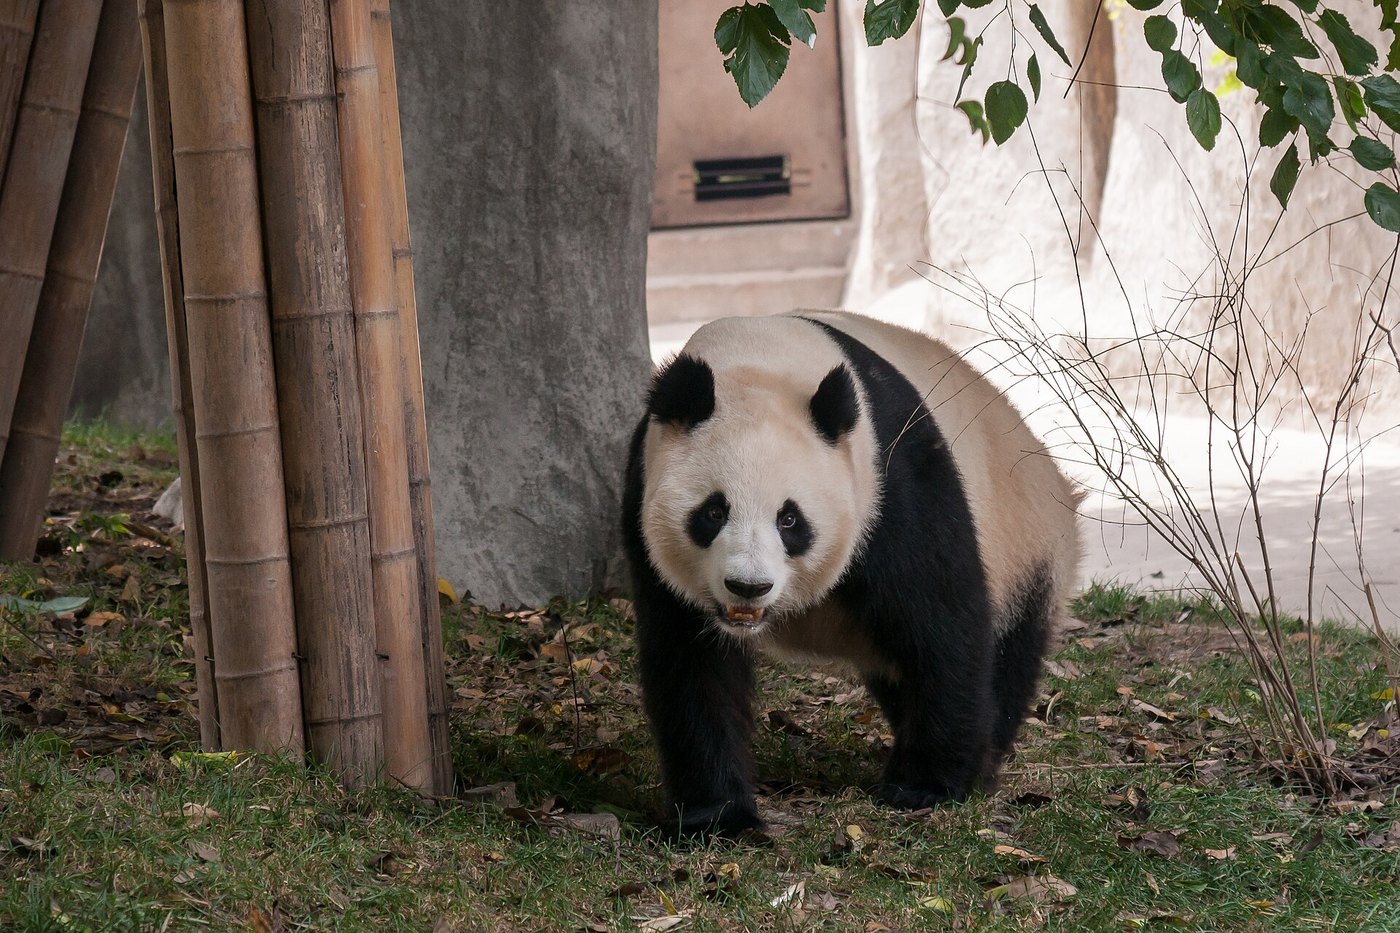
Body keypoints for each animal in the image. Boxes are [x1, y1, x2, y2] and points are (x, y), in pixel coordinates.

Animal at [621, 310, 1081, 836]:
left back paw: (982, 761)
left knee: (1006, 653)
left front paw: (925, 787)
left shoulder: (892, 479)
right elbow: (692, 665)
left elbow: (941, 627)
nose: (748, 587)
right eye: (713, 512)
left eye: (790, 519)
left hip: (1026, 548)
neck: (759, 360)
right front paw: (717, 817)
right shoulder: (643, 498)